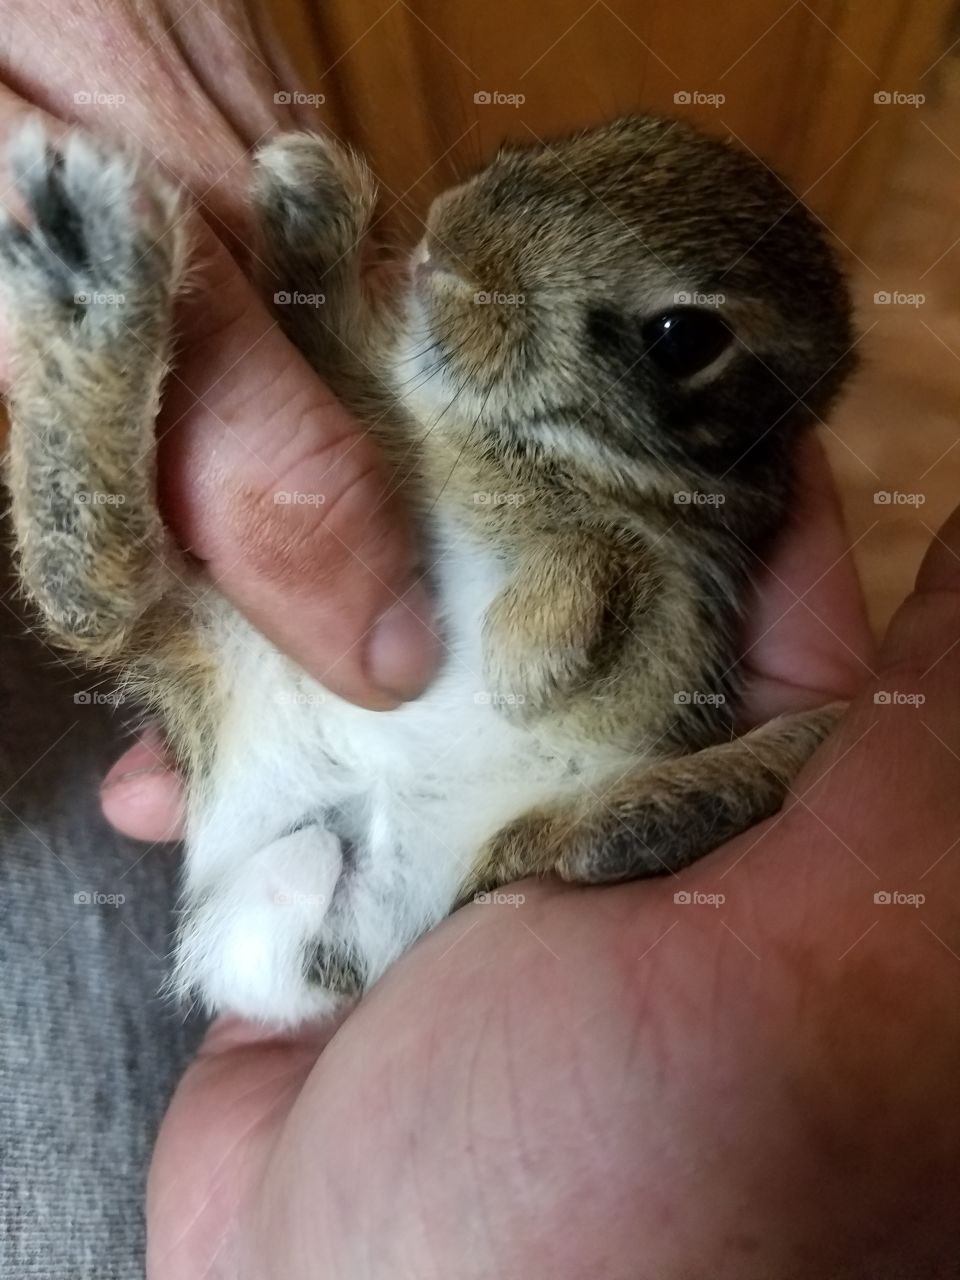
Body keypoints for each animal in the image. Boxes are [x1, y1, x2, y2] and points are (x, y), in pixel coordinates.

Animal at [0, 113, 856, 1024]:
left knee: (588, 845)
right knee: (99, 595)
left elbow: (612, 551)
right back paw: (90, 258)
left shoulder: (683, 596)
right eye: (604, 132)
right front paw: (306, 195)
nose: (449, 243)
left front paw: (524, 661)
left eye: (685, 340)